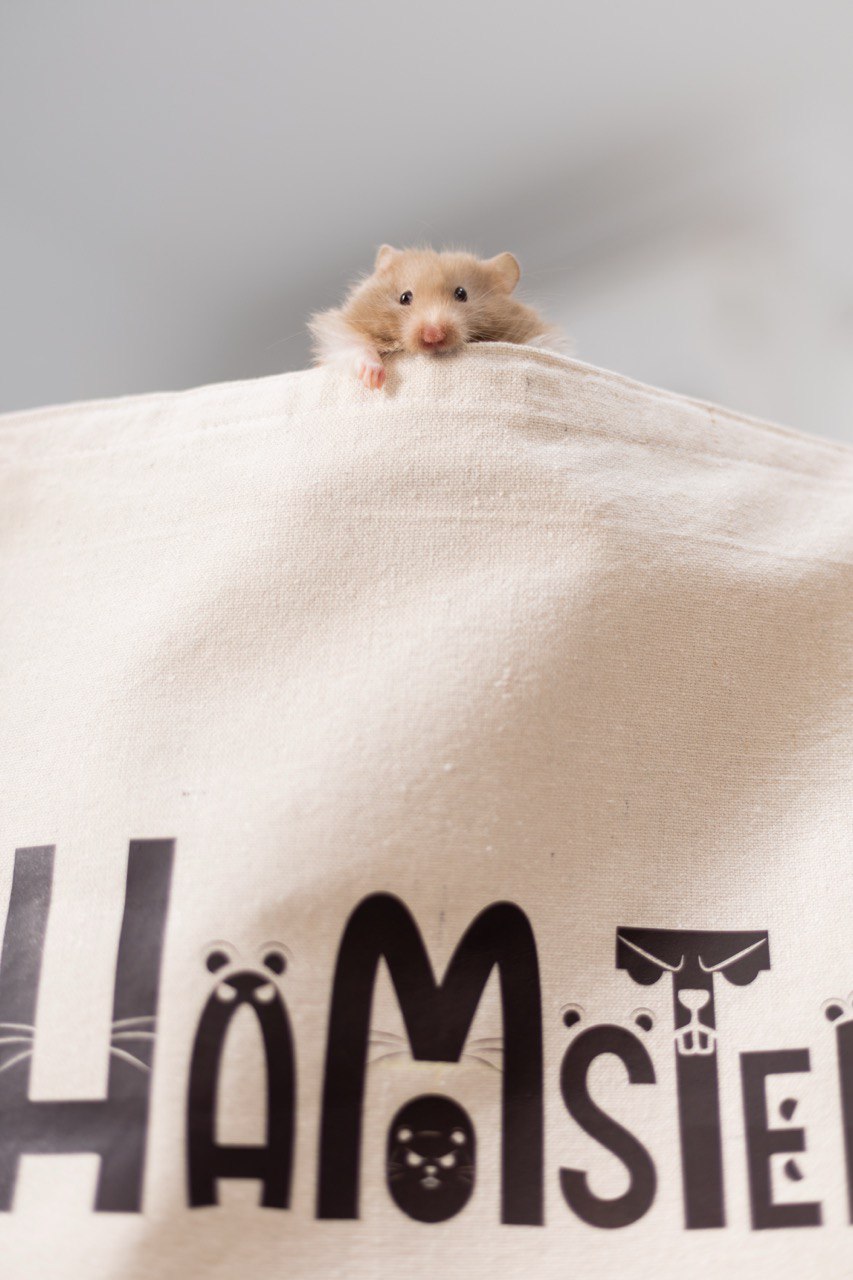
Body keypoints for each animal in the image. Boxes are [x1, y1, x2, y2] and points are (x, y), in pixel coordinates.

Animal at [308, 245, 563, 390]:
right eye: (404, 297)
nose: (433, 335)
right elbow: (354, 346)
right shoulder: (341, 330)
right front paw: (375, 381)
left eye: (462, 293)